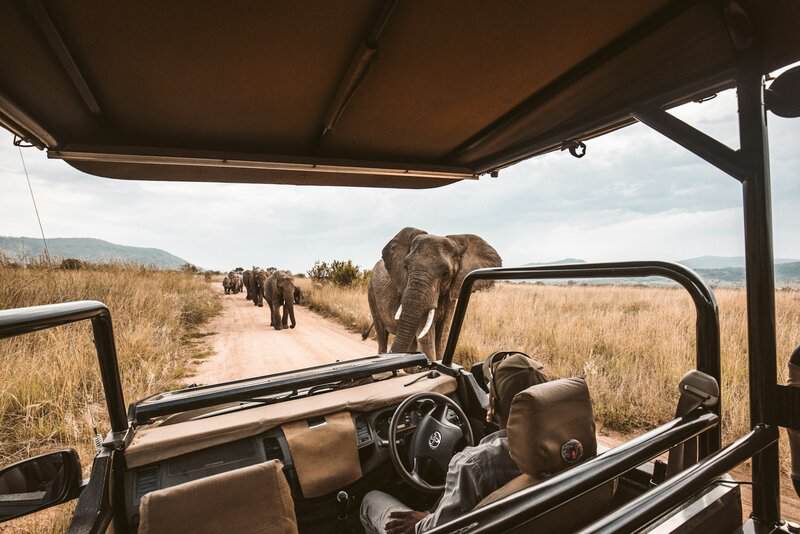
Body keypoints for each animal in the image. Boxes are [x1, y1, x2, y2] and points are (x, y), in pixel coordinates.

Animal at [366, 227, 501, 360]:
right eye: (406, 267)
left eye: (446, 273)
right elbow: (426, 339)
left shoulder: (452, 293)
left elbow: (442, 335)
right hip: (371, 293)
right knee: (382, 334)